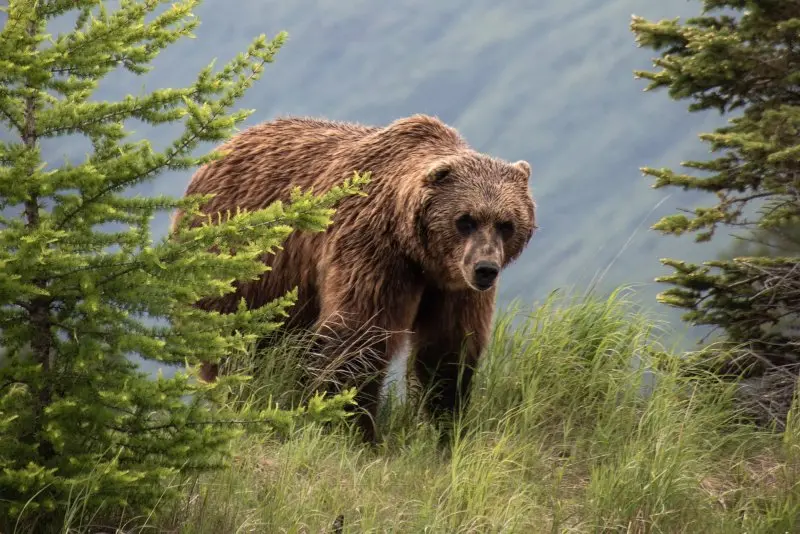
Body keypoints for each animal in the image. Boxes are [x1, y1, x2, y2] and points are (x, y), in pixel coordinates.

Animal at [173, 114, 540, 444]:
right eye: (465, 220)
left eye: (506, 223)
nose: (485, 268)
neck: (418, 253)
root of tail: (221, 149)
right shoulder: (372, 252)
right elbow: (358, 337)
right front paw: (354, 429)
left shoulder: (452, 287)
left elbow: (447, 350)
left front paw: (443, 427)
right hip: (240, 269)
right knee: (238, 346)